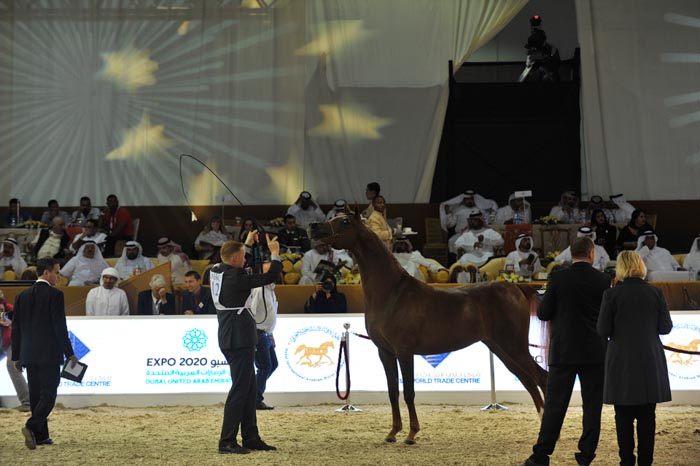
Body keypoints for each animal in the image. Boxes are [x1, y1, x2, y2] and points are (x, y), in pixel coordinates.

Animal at [309, 212, 547, 445]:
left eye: (345, 221)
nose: (314, 227)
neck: (391, 293)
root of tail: (515, 287)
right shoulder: (385, 352)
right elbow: (392, 392)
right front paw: (392, 433)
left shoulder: (404, 352)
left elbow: (409, 392)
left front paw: (411, 435)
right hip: (501, 348)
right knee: (528, 380)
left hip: (514, 346)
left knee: (540, 377)